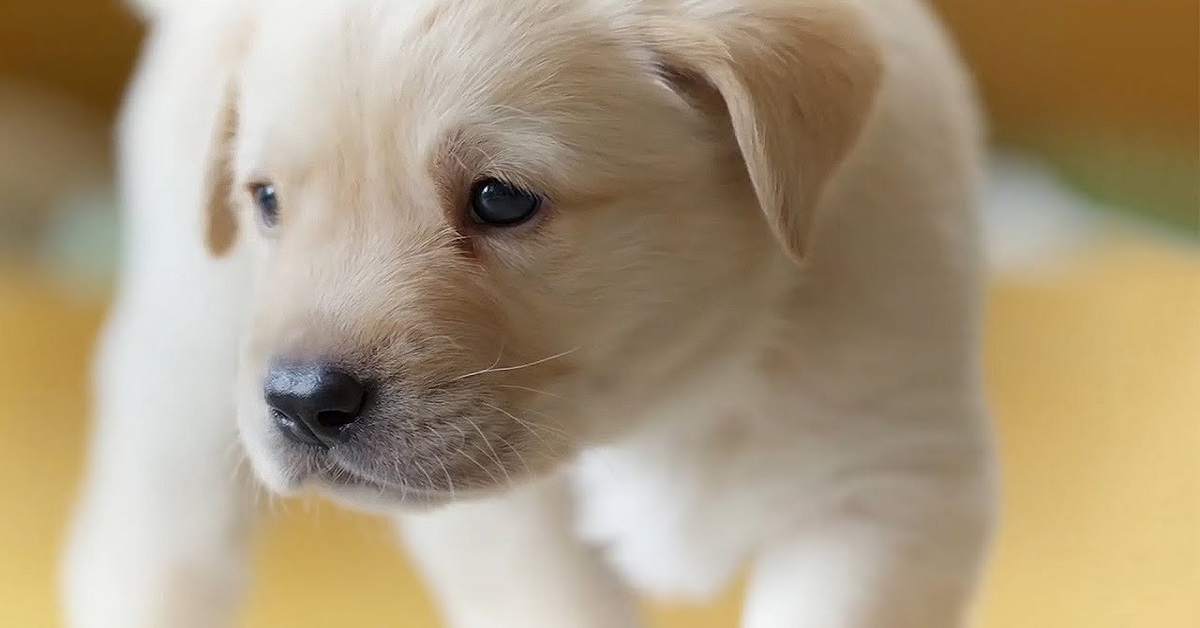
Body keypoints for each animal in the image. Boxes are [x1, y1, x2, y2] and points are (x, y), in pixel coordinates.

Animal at [60, 0, 998, 624]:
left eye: (501, 199)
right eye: (266, 202)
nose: (302, 402)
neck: (676, 395)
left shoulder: (889, 485)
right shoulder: (508, 530)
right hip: (190, 353)